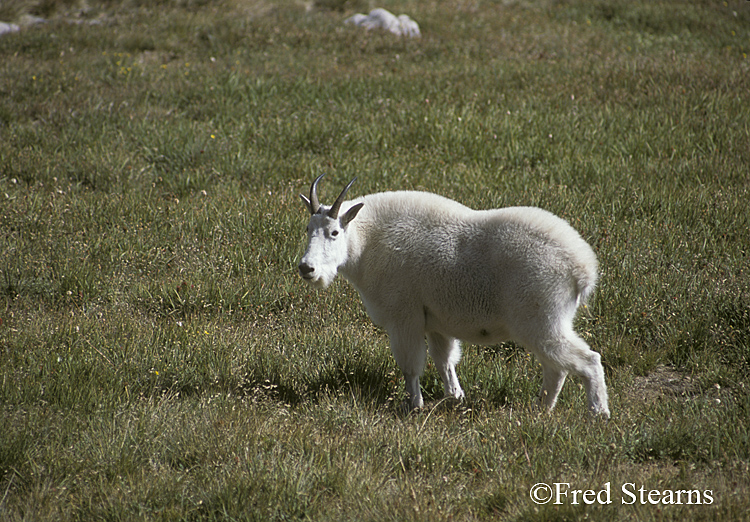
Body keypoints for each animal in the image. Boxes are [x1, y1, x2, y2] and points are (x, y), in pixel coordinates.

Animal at [300, 175, 612, 414]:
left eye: (335, 232)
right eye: (307, 228)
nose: (306, 268)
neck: (366, 242)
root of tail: (582, 270)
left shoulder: (404, 317)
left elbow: (411, 365)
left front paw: (413, 406)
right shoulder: (436, 322)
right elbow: (445, 361)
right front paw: (455, 398)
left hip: (541, 320)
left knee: (586, 360)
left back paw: (597, 413)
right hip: (546, 322)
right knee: (556, 368)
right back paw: (541, 411)